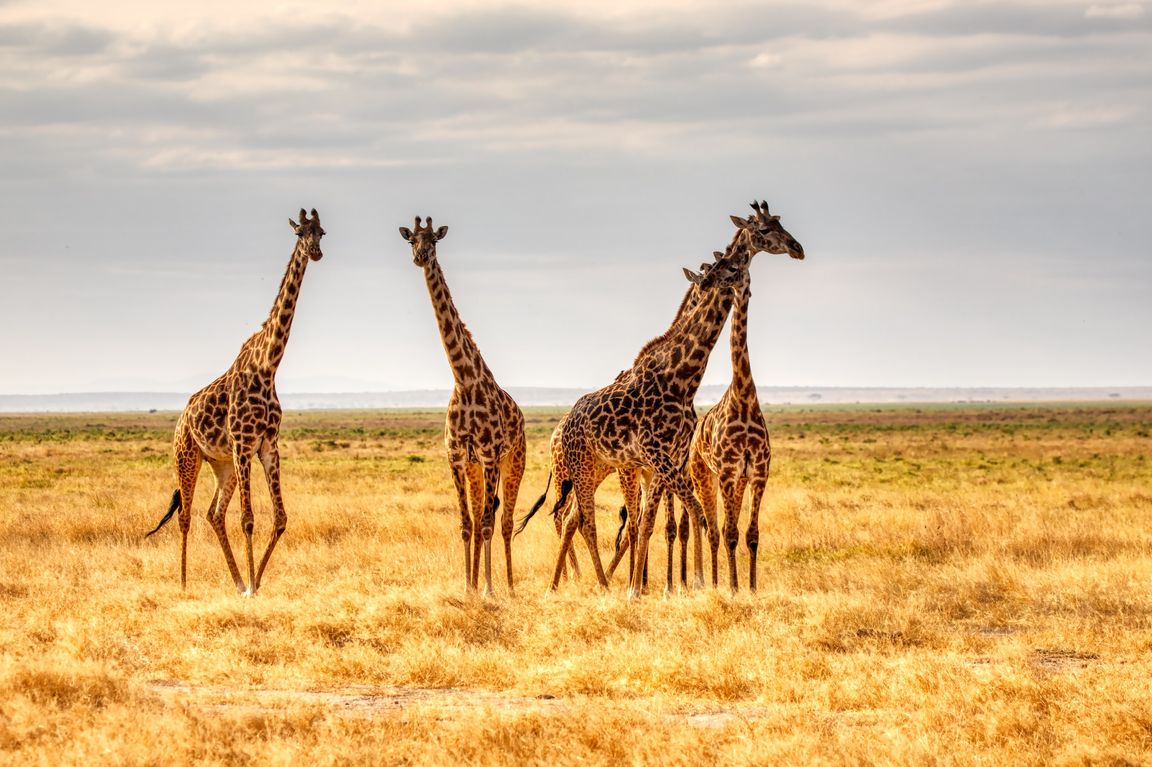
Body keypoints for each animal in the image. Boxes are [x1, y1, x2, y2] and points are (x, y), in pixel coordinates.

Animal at [145, 208, 326, 595]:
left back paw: (237, 580)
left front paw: (253, 583)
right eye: (300, 233)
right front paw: (254, 587)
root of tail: (181, 418)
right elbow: (248, 519)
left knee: (213, 513)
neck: (268, 365)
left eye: (321, 232)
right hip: (188, 455)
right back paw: (183, 583)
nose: (316, 252)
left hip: (222, 464)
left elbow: (280, 518)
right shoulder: (244, 444)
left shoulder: (267, 445)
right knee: (185, 515)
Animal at [399, 216, 526, 596]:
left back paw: (509, 586)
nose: (421, 257)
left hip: (514, 461)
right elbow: (466, 523)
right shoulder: (457, 457)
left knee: (505, 520)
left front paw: (488, 589)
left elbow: (486, 523)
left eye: (434, 241)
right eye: (411, 240)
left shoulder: (489, 456)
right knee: (484, 515)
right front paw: (467, 587)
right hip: (475, 469)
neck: (464, 381)